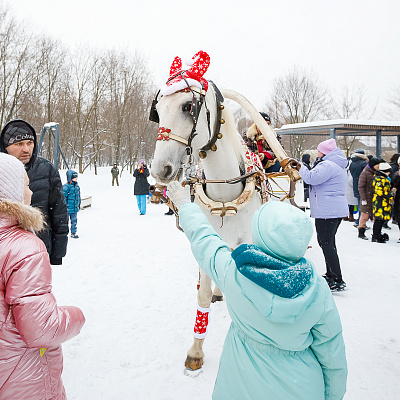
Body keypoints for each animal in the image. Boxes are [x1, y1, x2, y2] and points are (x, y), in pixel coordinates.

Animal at [150, 51, 300, 370]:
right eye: (157, 109)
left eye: (188, 106)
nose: (159, 170)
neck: (224, 194)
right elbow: (204, 295)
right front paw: (196, 352)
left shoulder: (250, 244)